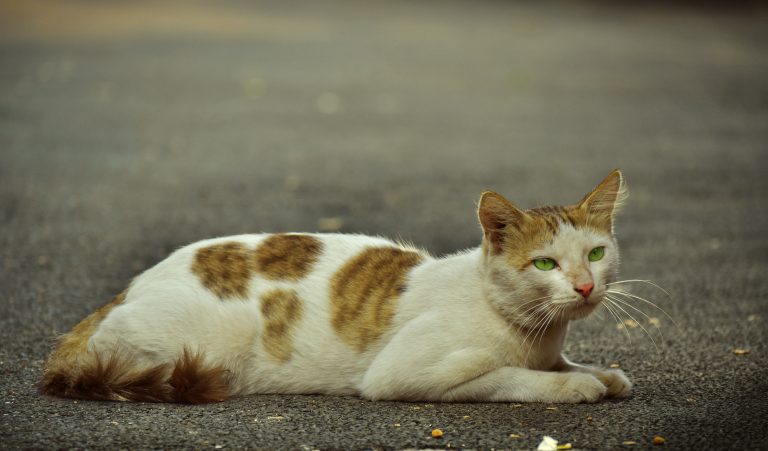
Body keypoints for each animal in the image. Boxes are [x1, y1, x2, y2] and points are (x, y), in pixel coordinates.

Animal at [39, 171, 632, 404]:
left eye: (595, 255)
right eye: (545, 263)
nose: (584, 288)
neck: (536, 333)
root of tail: (123, 292)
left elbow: (564, 364)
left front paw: (598, 372)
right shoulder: (403, 375)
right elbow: (507, 377)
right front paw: (573, 385)